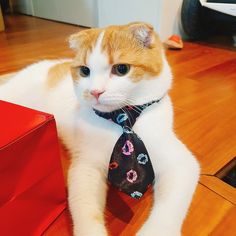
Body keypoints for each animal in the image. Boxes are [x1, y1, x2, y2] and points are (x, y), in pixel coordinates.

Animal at [0, 22, 199, 236]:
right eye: (85, 71)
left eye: (121, 69)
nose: (95, 92)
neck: (123, 121)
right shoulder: (86, 165)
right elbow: (86, 210)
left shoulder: (181, 163)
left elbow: (169, 209)